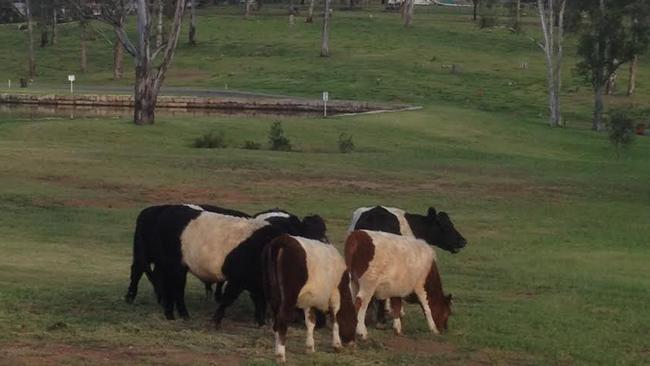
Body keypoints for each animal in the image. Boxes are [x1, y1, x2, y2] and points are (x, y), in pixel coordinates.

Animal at [260, 234, 356, 364]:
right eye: (355, 321)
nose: (353, 343)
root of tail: (283, 239)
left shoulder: (308, 300)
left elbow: (310, 322)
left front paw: (310, 347)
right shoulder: (335, 296)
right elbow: (335, 320)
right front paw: (337, 345)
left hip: (272, 296)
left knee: (275, 322)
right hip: (288, 297)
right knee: (282, 320)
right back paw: (281, 355)